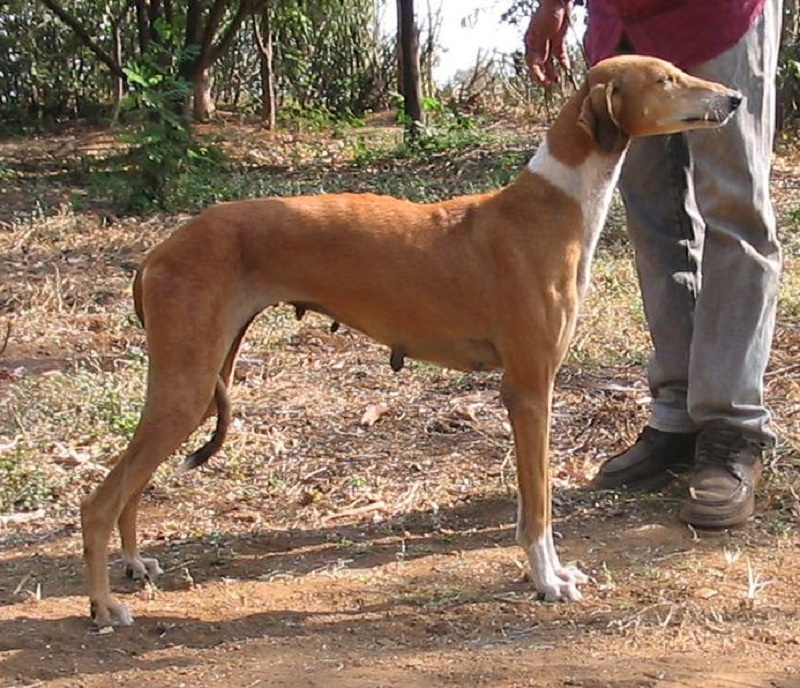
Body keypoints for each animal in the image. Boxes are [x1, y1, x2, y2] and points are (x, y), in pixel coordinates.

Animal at [78, 56, 740, 628]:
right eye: (666, 78)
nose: (733, 99)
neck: (552, 204)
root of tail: (157, 251)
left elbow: (531, 503)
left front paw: (550, 574)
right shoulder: (528, 390)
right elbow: (539, 506)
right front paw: (547, 581)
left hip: (194, 382)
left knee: (130, 486)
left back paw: (133, 564)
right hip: (188, 386)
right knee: (100, 500)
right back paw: (105, 606)